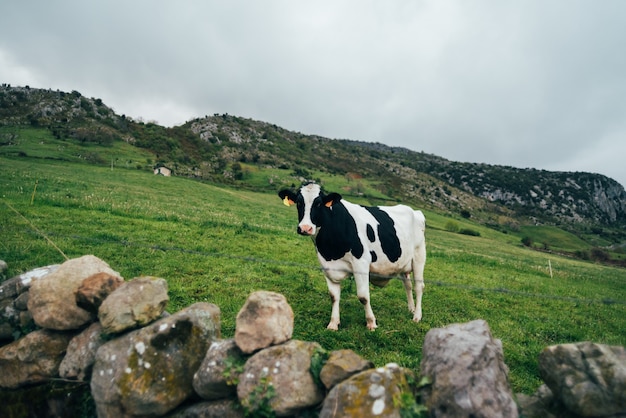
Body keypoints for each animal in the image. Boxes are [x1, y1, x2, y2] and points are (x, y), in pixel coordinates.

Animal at [278, 182, 424, 330]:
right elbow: (333, 296)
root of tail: (415, 211)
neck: (331, 250)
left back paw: (417, 316)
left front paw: (371, 323)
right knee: (407, 284)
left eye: (318, 203)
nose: (305, 228)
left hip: (419, 256)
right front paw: (333, 323)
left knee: (418, 286)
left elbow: (363, 296)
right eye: (299, 202)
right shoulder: (327, 265)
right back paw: (411, 309)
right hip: (403, 263)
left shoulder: (361, 263)